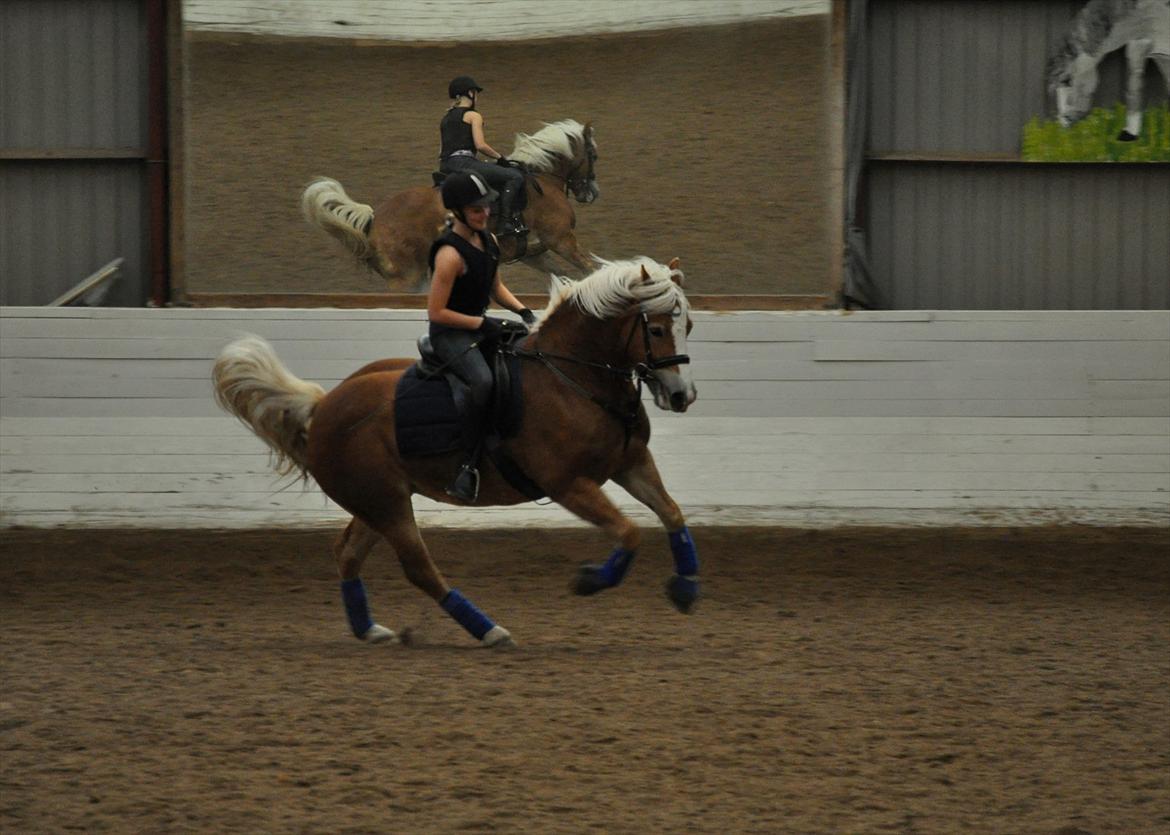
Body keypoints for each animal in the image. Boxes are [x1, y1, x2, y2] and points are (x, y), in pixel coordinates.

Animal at [212, 257, 692, 645]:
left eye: (687, 327)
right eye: (655, 329)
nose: (682, 396)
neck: (574, 379)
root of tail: (324, 405)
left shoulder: (631, 463)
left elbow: (672, 515)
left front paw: (686, 587)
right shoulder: (568, 484)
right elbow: (629, 532)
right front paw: (591, 580)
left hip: (377, 501)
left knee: (347, 552)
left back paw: (370, 630)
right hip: (386, 504)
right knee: (419, 569)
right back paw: (490, 631)